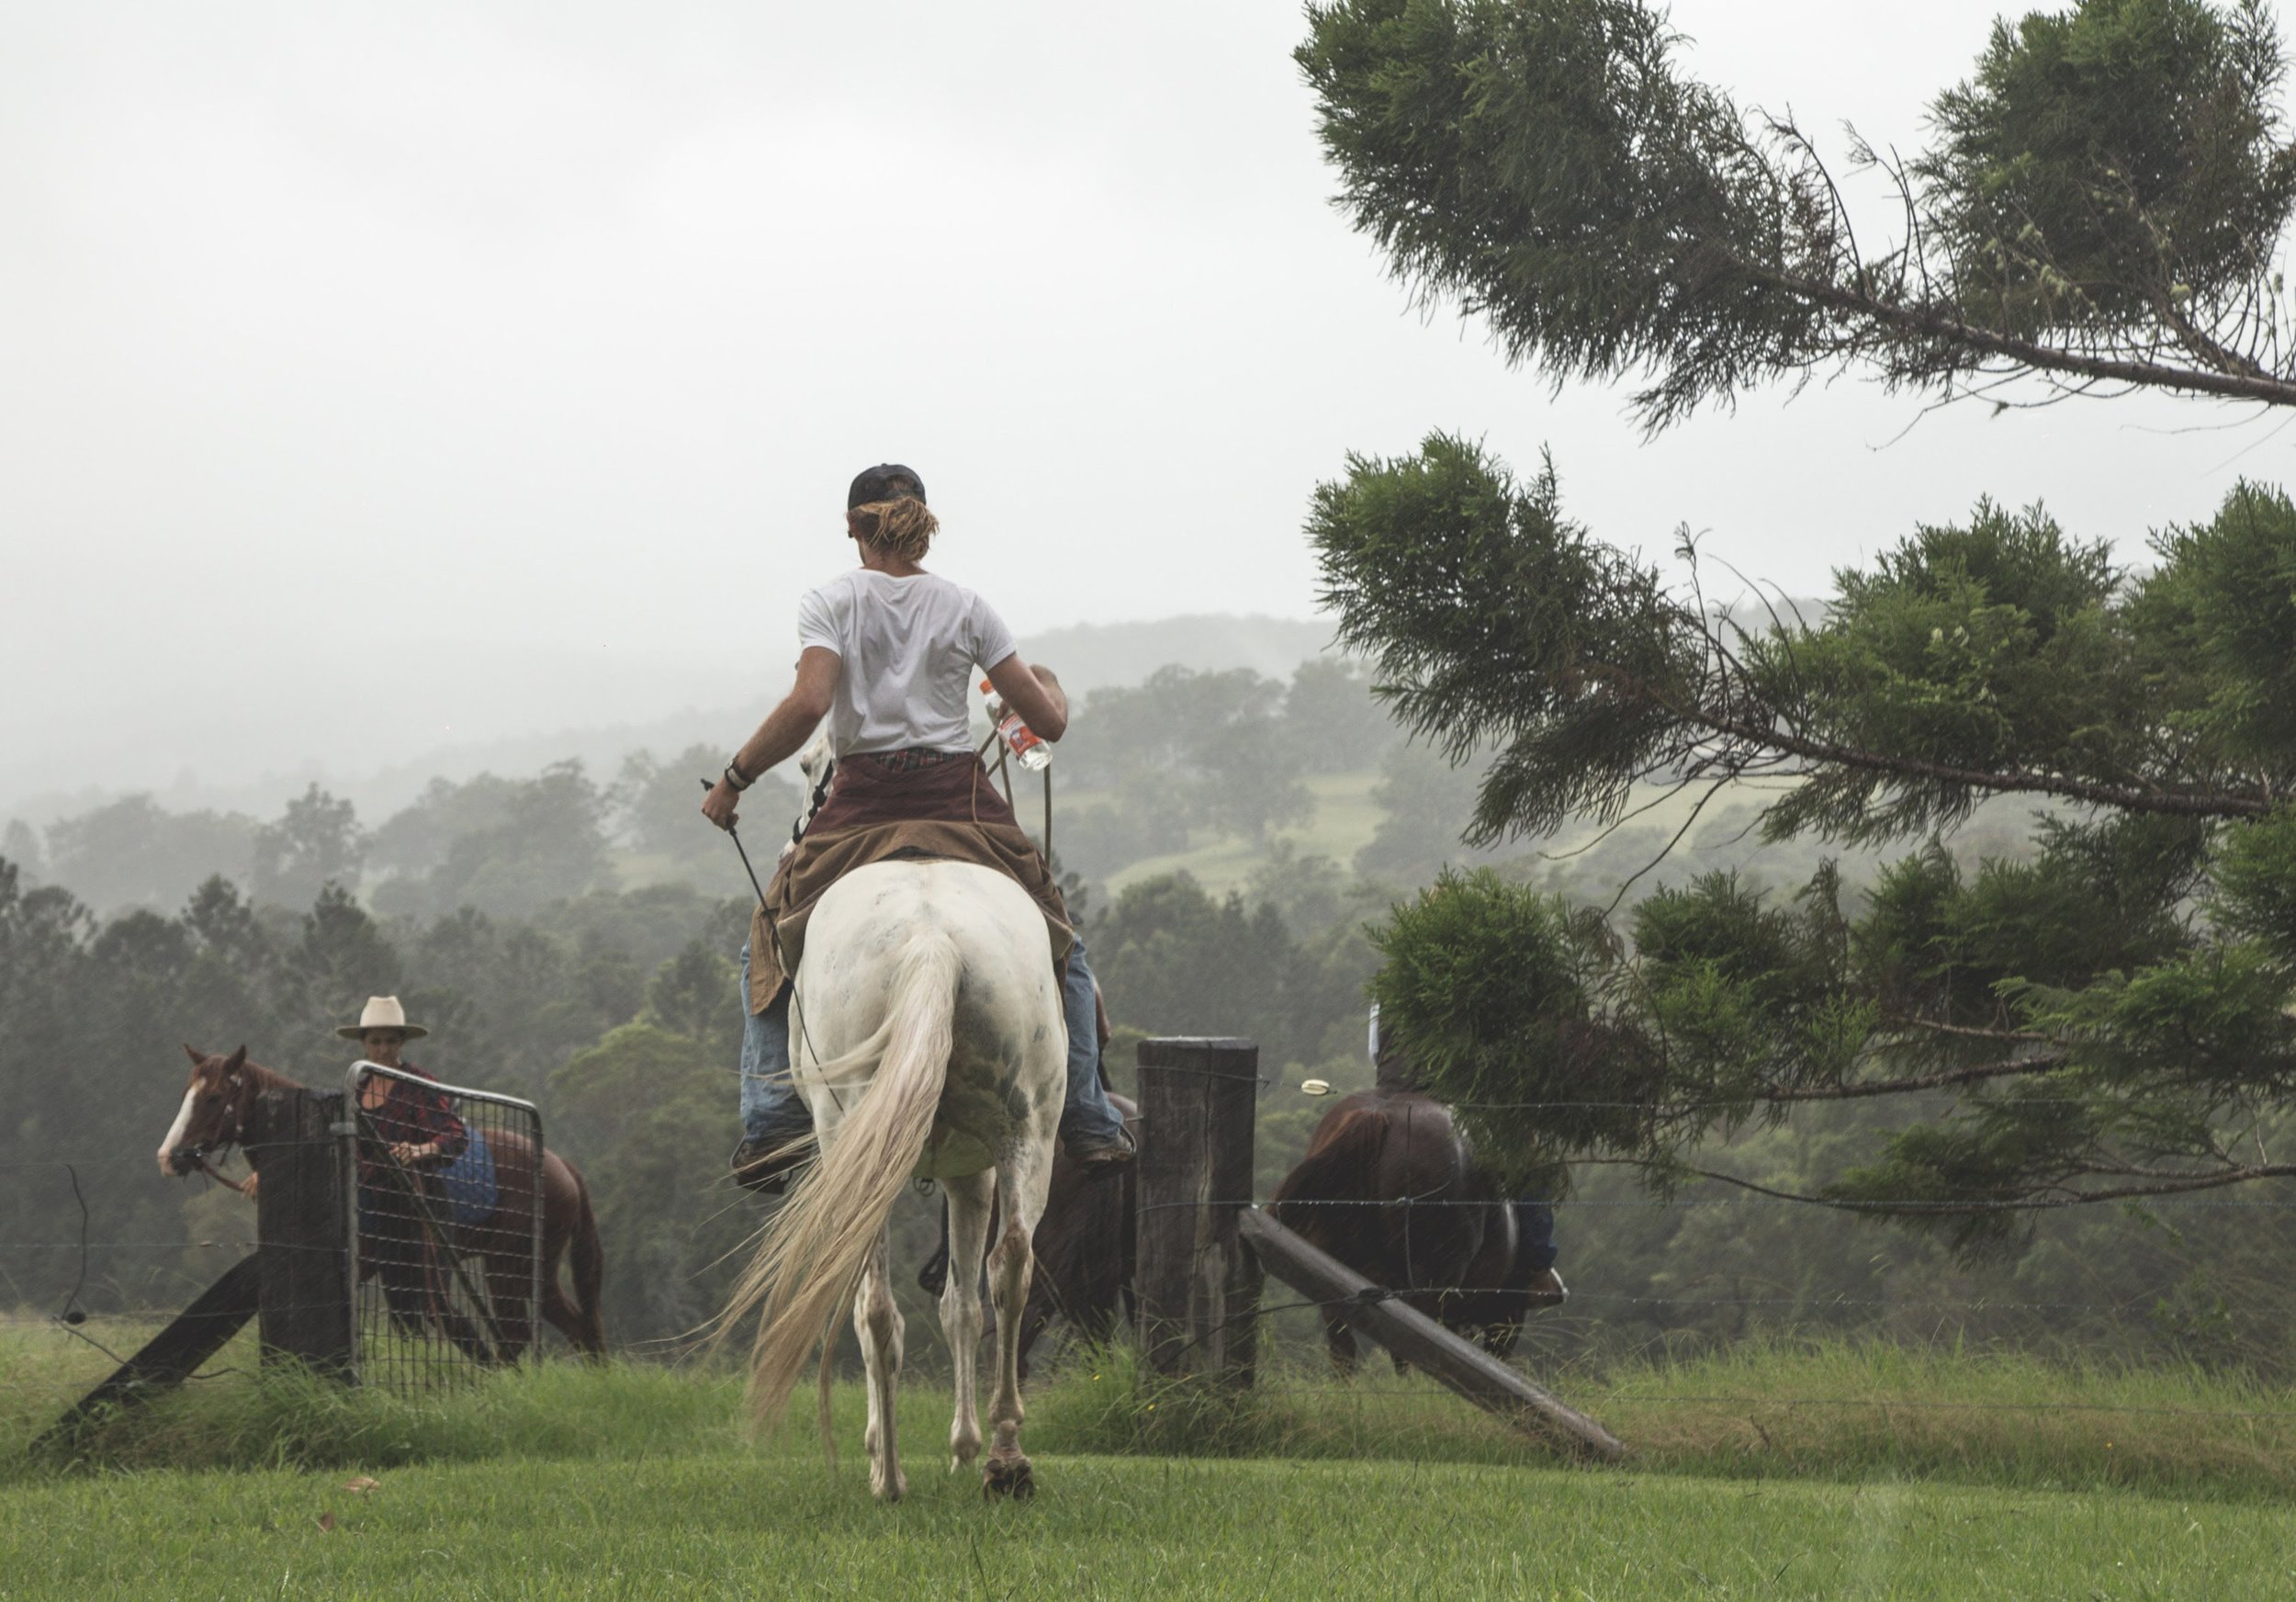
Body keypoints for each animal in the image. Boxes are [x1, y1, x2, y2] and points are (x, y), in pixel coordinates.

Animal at [162, 1042, 611, 1349]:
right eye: (185, 1094)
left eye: (214, 1097)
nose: (169, 1156)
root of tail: (561, 1166)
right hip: (535, 1270)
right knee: (578, 1327)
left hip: (508, 1266)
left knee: (515, 1336)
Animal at [726, 853, 1065, 1487]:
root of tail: (931, 942)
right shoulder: (971, 1176)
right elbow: (962, 1306)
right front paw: (962, 1446)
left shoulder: (951, 1174)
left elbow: (942, 1306)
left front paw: (936, 1444)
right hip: (1026, 1135)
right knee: (1010, 1264)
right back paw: (1005, 1459)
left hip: (861, 1146)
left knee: (878, 1307)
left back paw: (889, 1476)